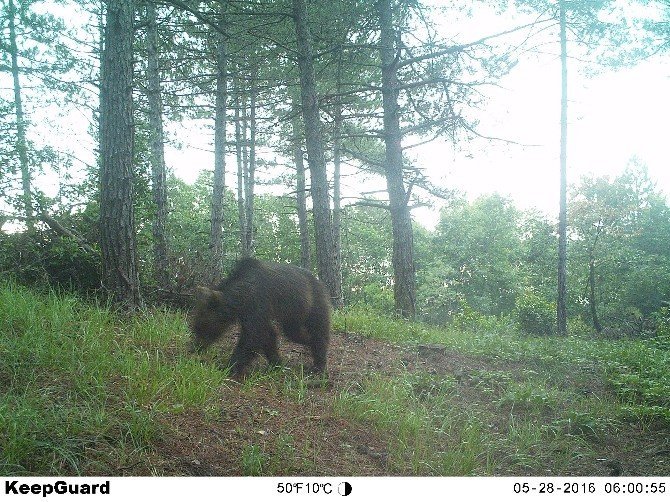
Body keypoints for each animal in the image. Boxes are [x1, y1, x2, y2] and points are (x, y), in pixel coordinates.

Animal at [190, 256, 332, 374]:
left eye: (201, 327)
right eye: (195, 328)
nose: (194, 348)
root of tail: (320, 282)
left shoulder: (258, 302)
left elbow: (253, 336)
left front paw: (229, 366)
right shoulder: (248, 312)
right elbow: (267, 334)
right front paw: (275, 363)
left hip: (314, 303)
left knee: (318, 330)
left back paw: (318, 363)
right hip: (293, 315)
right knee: (294, 333)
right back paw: (308, 341)